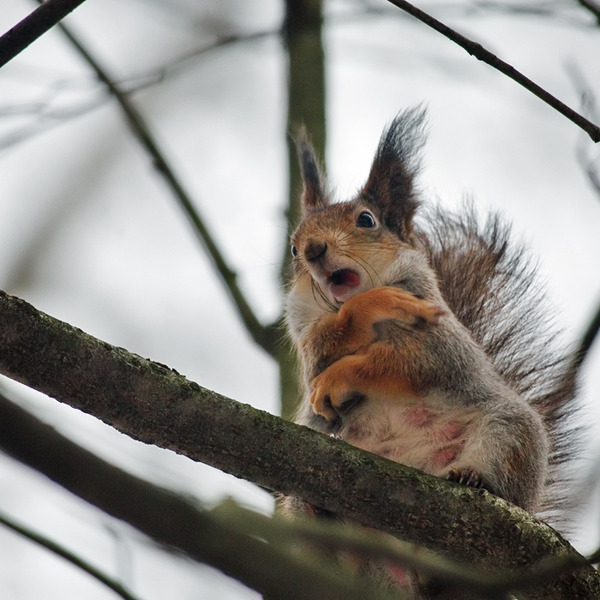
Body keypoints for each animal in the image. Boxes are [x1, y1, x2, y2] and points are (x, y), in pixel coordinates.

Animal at [284, 106, 580, 572]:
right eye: (293, 248)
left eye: (366, 220)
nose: (313, 249)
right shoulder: (308, 345)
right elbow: (322, 353)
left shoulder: (440, 343)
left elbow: (402, 363)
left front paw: (345, 370)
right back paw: (322, 511)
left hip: (511, 434)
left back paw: (473, 478)